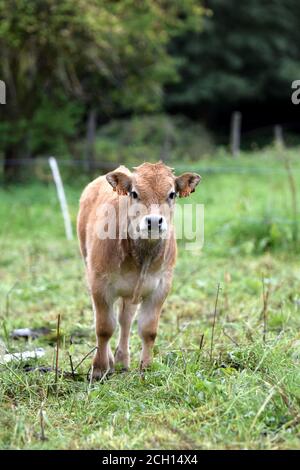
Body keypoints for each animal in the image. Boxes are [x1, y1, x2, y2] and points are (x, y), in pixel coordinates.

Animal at [76, 162, 200, 378]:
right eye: (134, 193)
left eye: (172, 194)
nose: (154, 221)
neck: (142, 257)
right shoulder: (99, 283)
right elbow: (104, 328)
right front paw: (99, 368)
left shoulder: (161, 286)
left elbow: (148, 330)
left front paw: (146, 367)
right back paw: (111, 360)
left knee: (125, 320)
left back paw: (122, 360)